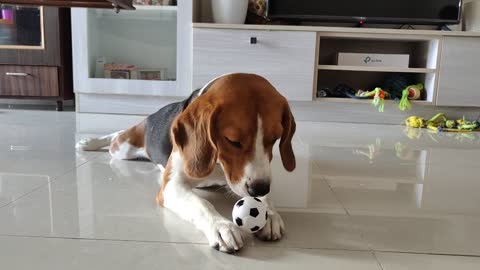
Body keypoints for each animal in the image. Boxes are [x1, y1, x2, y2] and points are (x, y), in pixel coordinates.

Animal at [76, 72, 296, 253]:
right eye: (233, 141)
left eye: (274, 139)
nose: (259, 189)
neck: (218, 164)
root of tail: (153, 116)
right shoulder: (171, 187)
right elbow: (202, 203)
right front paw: (220, 226)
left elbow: (266, 197)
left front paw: (270, 213)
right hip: (123, 148)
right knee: (115, 137)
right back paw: (90, 142)